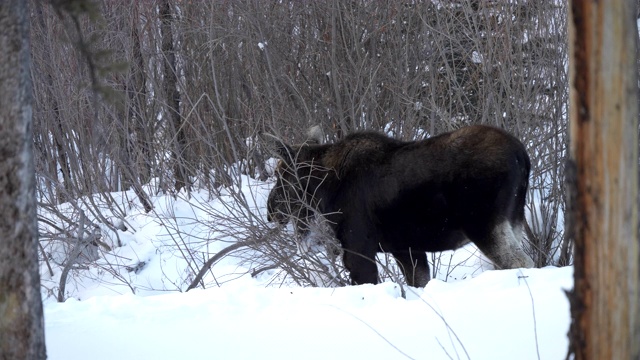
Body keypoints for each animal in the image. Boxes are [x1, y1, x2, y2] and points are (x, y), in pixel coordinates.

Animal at [264, 125, 536, 288]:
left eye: (281, 175)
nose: (270, 211)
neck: (324, 190)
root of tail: (522, 156)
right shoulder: (406, 249)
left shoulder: (358, 249)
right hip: (514, 220)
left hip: (483, 224)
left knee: (522, 262)